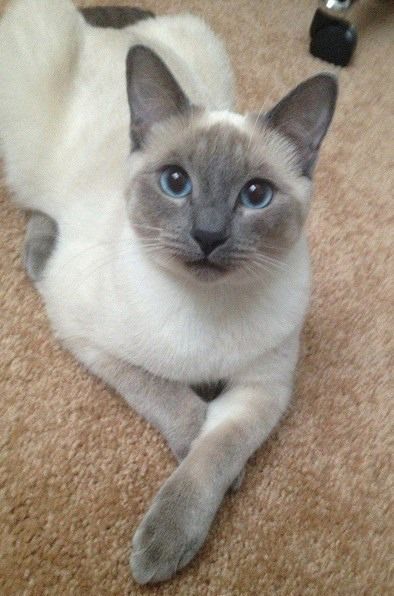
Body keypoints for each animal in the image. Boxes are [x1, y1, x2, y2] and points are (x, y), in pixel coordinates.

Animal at [0, 0, 338, 584]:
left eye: (256, 195)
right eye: (176, 183)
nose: (208, 236)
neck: (206, 309)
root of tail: (103, 29)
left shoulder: (262, 389)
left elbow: (214, 454)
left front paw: (169, 539)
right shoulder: (89, 341)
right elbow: (175, 403)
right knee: (31, 199)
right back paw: (39, 253)